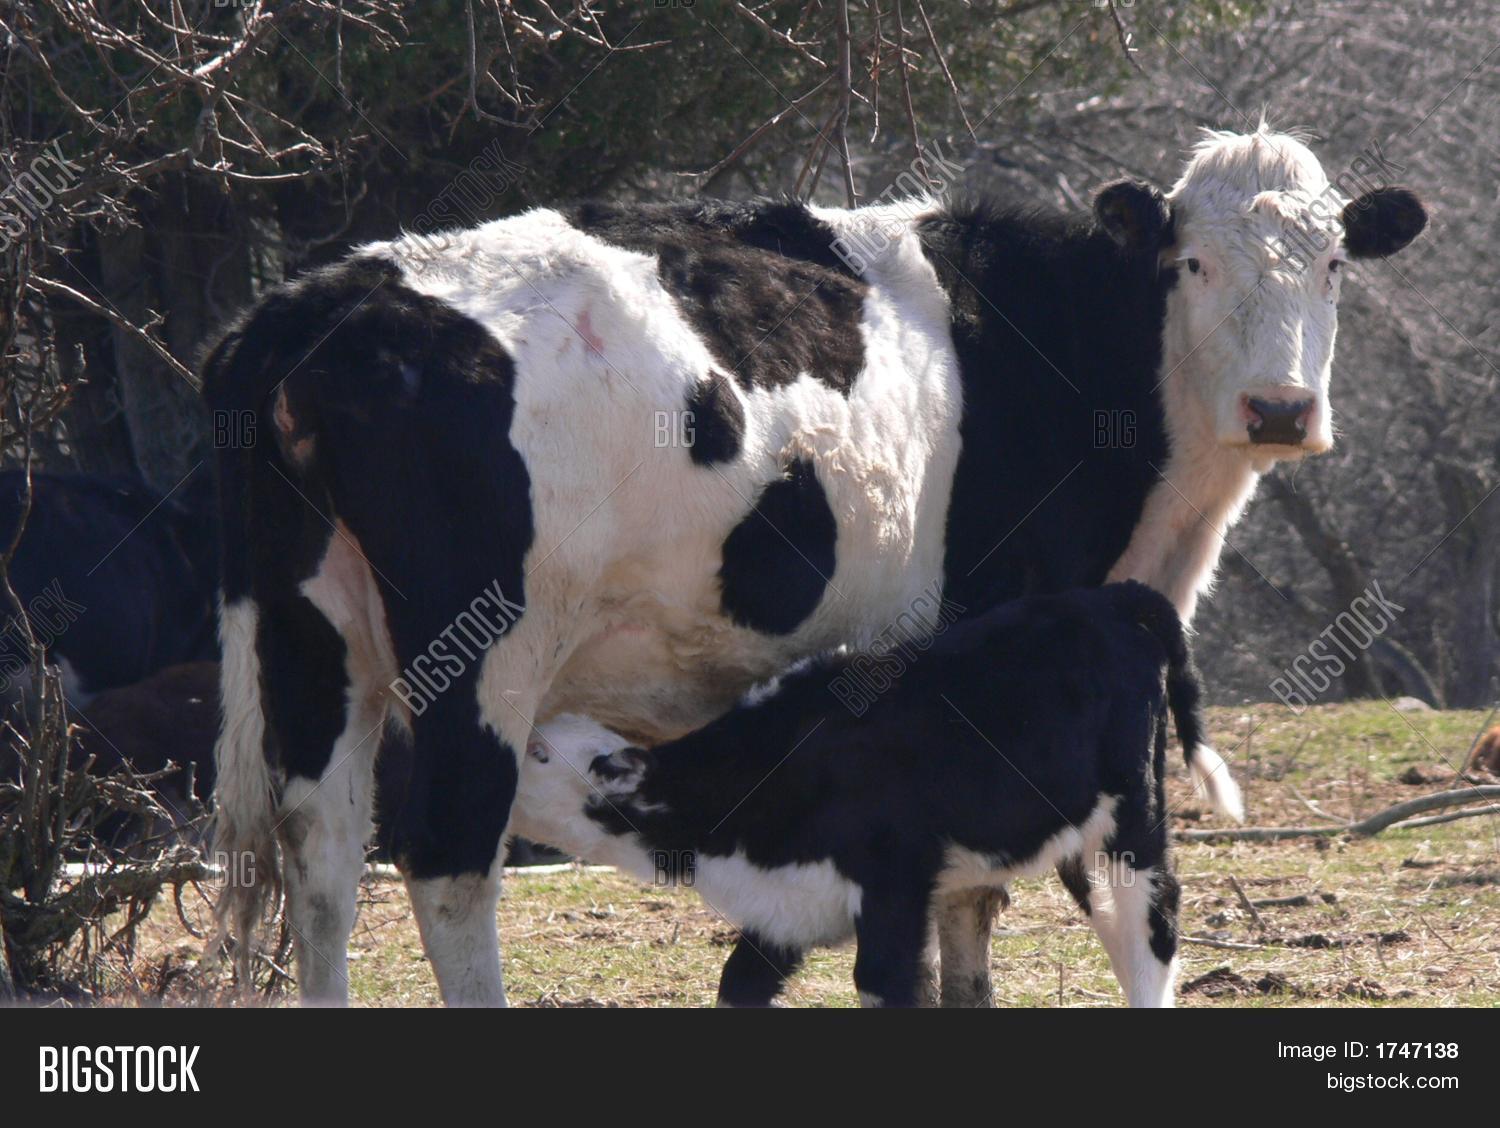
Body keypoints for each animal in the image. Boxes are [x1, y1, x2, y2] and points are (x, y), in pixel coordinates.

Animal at [513, 582, 1234, 1008]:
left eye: (539, 752)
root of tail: (1112, 598)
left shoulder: (895, 885)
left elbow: (884, 983)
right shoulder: (785, 909)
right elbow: (736, 983)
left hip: (1132, 814)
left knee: (1152, 913)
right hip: (1074, 831)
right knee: (1115, 918)